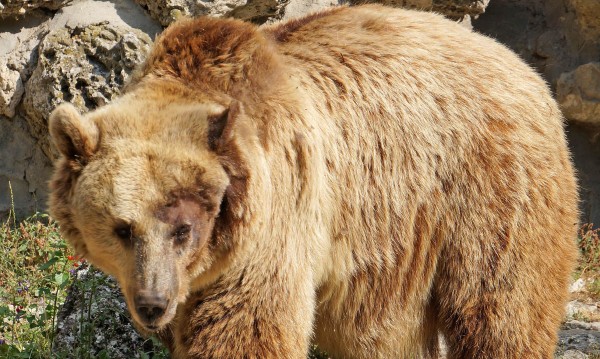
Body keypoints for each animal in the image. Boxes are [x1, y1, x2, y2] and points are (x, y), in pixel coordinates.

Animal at [49, 4, 580, 358]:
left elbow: (247, 325)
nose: (153, 304)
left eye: (183, 228)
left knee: (501, 306)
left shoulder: (276, 216)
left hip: (489, 188)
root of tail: (522, 66)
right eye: (122, 228)